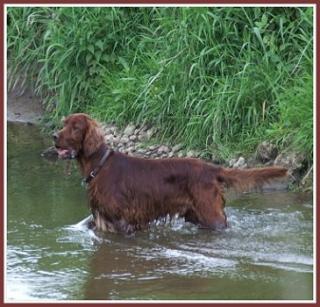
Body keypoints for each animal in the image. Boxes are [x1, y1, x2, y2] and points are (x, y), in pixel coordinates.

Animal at [53, 114, 288, 235]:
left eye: (76, 127)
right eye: (64, 124)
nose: (54, 136)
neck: (99, 165)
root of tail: (212, 168)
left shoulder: (122, 222)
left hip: (210, 214)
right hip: (196, 215)